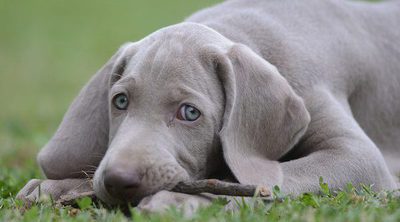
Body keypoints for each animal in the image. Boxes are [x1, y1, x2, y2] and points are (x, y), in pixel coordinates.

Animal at [18, 0, 400, 214]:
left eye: (189, 113)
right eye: (120, 101)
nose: (117, 180)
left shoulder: (357, 157)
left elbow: (271, 178)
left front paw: (183, 201)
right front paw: (58, 187)